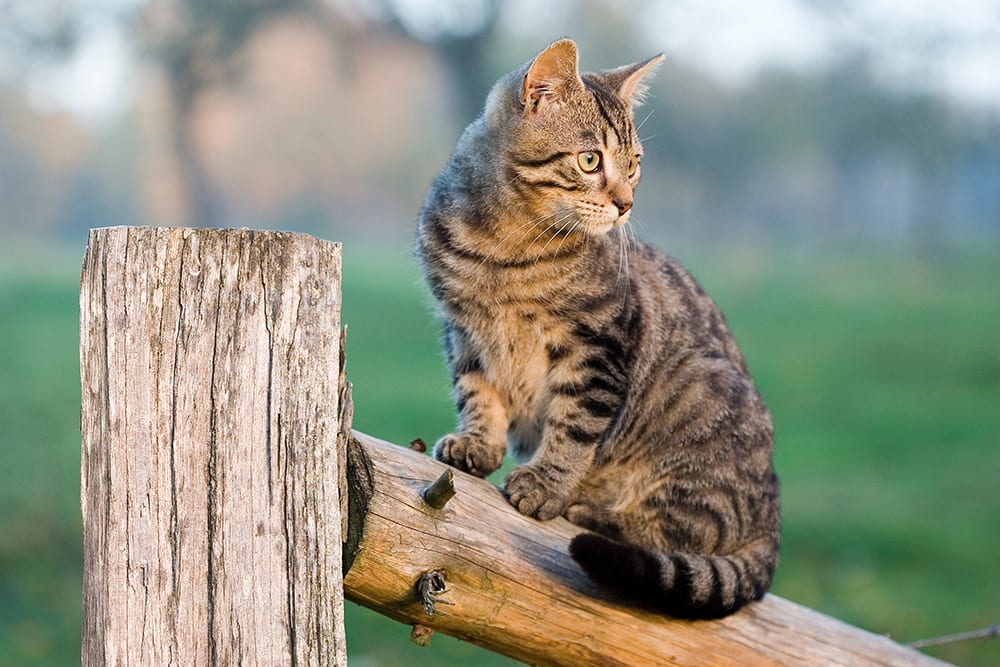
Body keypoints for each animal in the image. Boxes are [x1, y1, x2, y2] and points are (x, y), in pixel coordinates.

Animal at [414, 39, 780, 620]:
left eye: (633, 165)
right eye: (590, 160)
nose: (626, 203)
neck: (505, 248)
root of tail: (772, 515)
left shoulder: (598, 345)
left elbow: (575, 426)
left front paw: (546, 483)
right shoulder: (463, 332)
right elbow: (477, 392)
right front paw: (478, 443)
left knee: (688, 529)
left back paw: (591, 510)